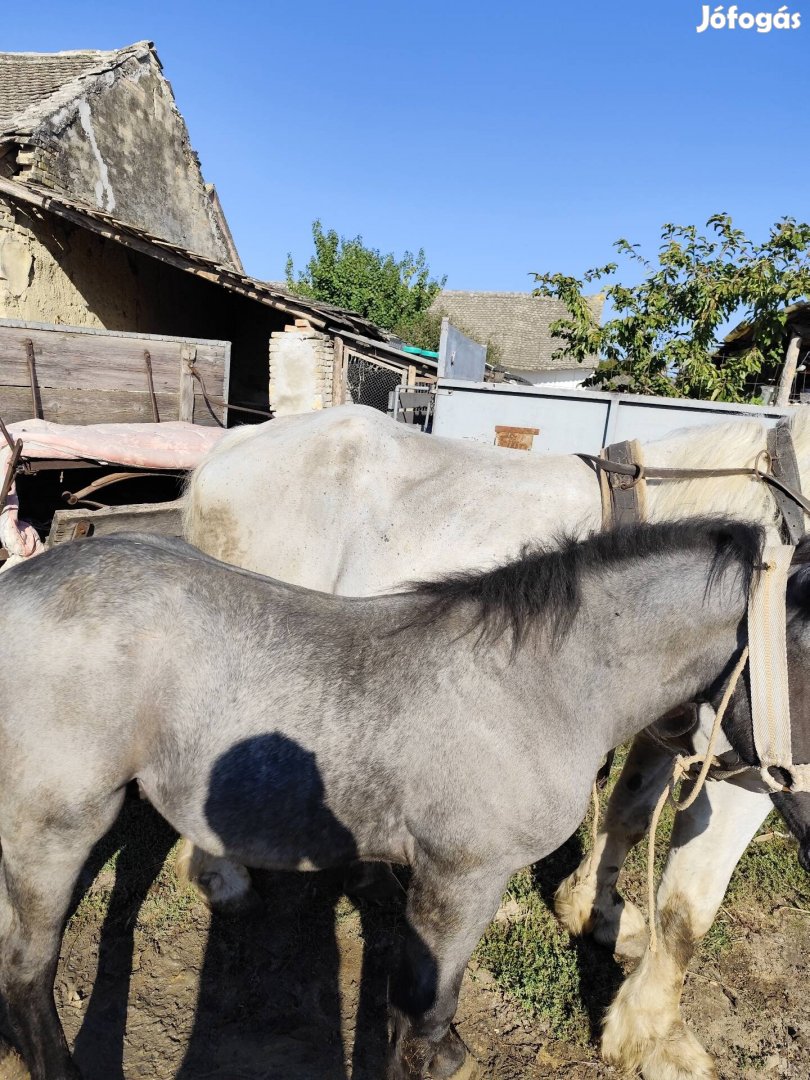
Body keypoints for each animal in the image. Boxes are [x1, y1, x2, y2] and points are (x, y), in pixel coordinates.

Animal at [183, 406, 810, 1080]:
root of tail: (233, 446)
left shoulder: (670, 726)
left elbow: (629, 816)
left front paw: (594, 911)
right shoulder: (747, 765)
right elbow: (690, 906)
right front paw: (656, 1038)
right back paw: (224, 879)